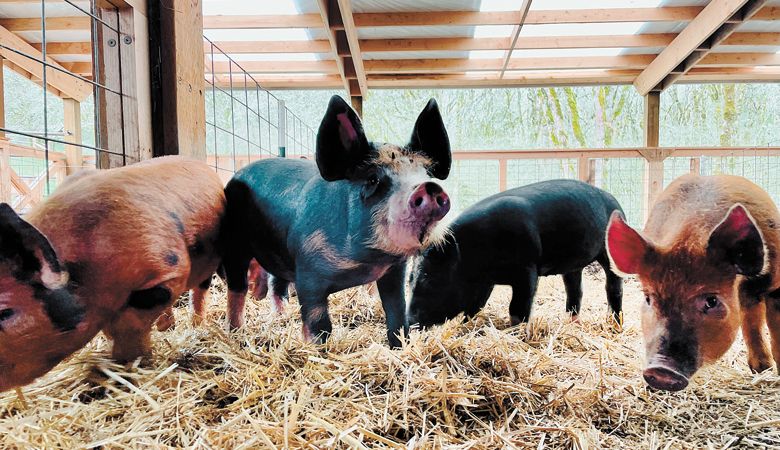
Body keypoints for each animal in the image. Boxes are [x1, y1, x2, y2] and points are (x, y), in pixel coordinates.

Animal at [0, 156, 224, 392]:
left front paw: (131, 363)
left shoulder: (166, 271)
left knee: (199, 292)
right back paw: (166, 328)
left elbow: (127, 323)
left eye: (5, 312)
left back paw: (196, 325)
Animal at [221, 96, 450, 348]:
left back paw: (282, 315)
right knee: (237, 288)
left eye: (426, 174)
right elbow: (319, 323)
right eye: (372, 180)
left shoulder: (394, 270)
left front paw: (399, 347)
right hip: (234, 243)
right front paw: (316, 349)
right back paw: (235, 332)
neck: (366, 262)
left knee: (276, 285)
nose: (429, 187)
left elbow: (397, 314)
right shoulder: (308, 271)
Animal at [408, 178, 620, 326]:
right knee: (575, 290)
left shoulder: (527, 270)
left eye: (430, 280)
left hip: (609, 255)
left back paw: (614, 323)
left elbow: (518, 308)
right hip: (572, 266)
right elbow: (475, 305)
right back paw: (572, 322)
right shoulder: (485, 282)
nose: (409, 322)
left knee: (613, 287)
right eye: (410, 280)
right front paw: (465, 326)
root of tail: (612, 198)